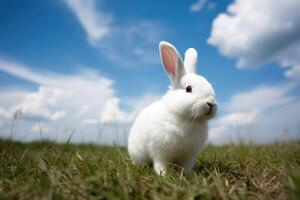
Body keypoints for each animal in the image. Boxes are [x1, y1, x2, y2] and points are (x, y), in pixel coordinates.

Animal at [127, 41, 217, 175]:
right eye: (188, 89)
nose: (211, 103)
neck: (187, 119)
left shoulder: (188, 157)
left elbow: (186, 167)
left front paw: (188, 175)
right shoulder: (160, 153)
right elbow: (160, 165)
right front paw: (163, 175)